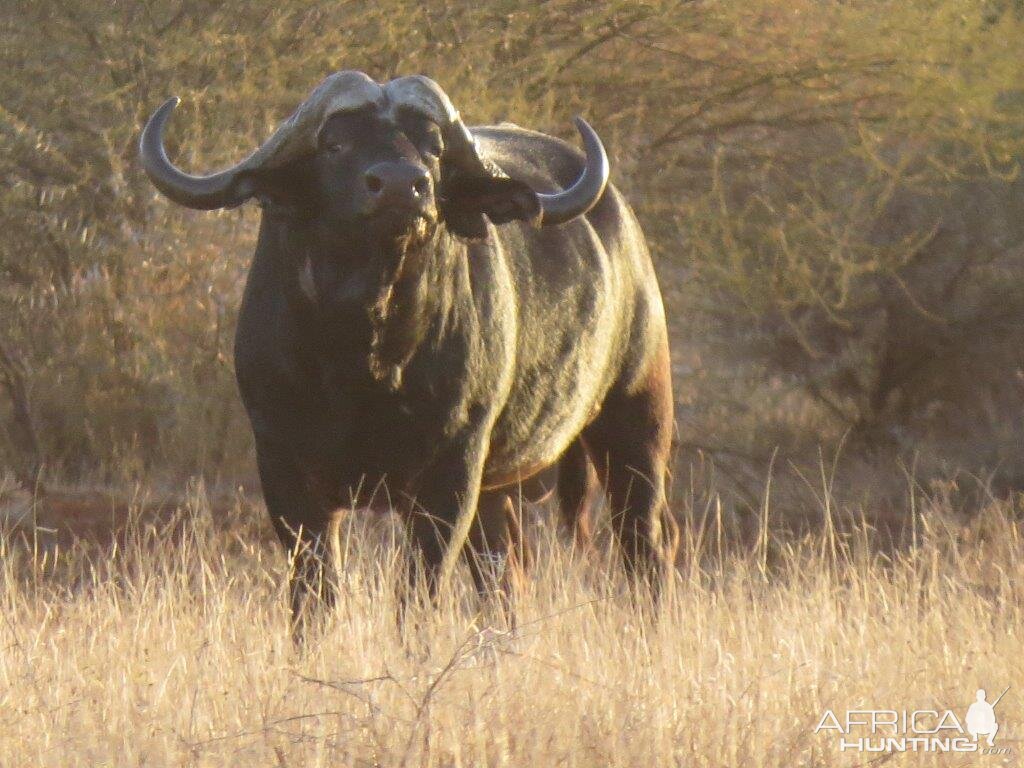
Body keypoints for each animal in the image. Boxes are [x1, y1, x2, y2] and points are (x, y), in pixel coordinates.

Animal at [138, 70, 679, 630]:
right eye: (334, 144)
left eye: (434, 148)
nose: (402, 185)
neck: (363, 358)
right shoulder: (284, 468)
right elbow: (313, 594)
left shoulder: (451, 470)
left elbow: (417, 591)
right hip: (500, 489)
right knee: (507, 572)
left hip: (637, 422)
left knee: (645, 544)